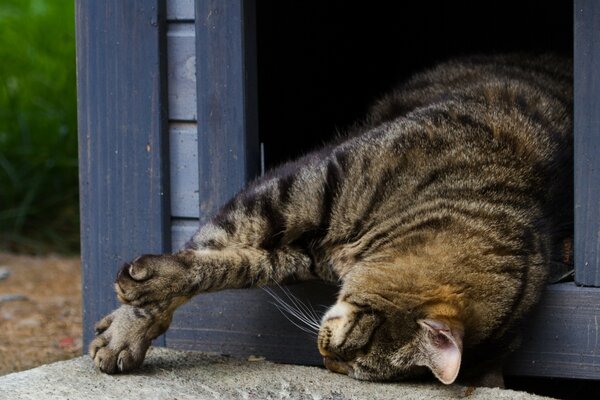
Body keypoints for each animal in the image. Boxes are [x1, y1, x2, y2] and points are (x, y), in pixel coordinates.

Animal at [88, 54, 572, 386]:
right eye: (353, 350)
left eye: (357, 367)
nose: (327, 362)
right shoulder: (297, 190)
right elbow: (210, 245)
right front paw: (130, 327)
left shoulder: (296, 252)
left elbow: (231, 265)